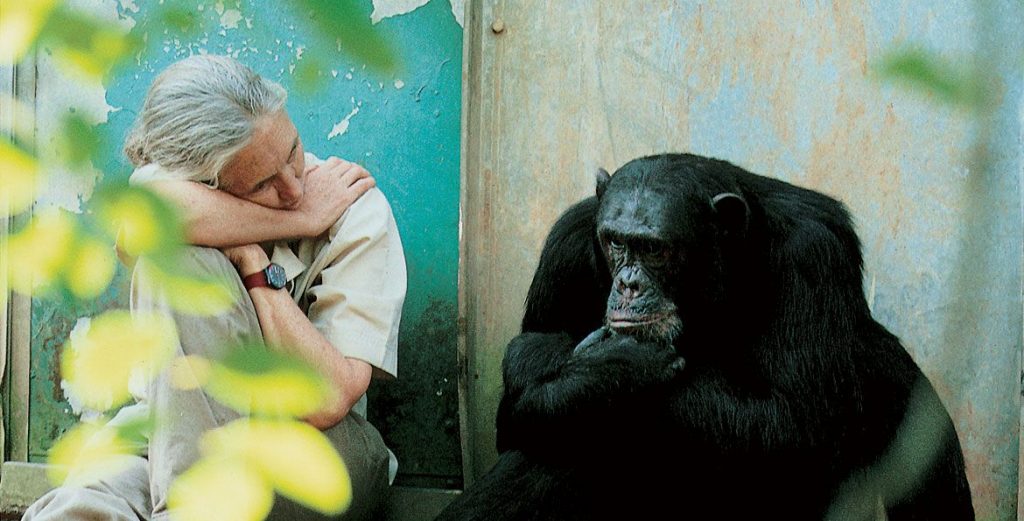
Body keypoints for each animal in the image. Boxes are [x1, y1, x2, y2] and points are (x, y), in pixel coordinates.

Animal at [436, 153, 970, 519]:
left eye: (655, 249)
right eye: (614, 241)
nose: (628, 284)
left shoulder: (814, 254)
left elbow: (799, 423)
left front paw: (615, 369)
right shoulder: (563, 247)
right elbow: (514, 415)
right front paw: (602, 373)